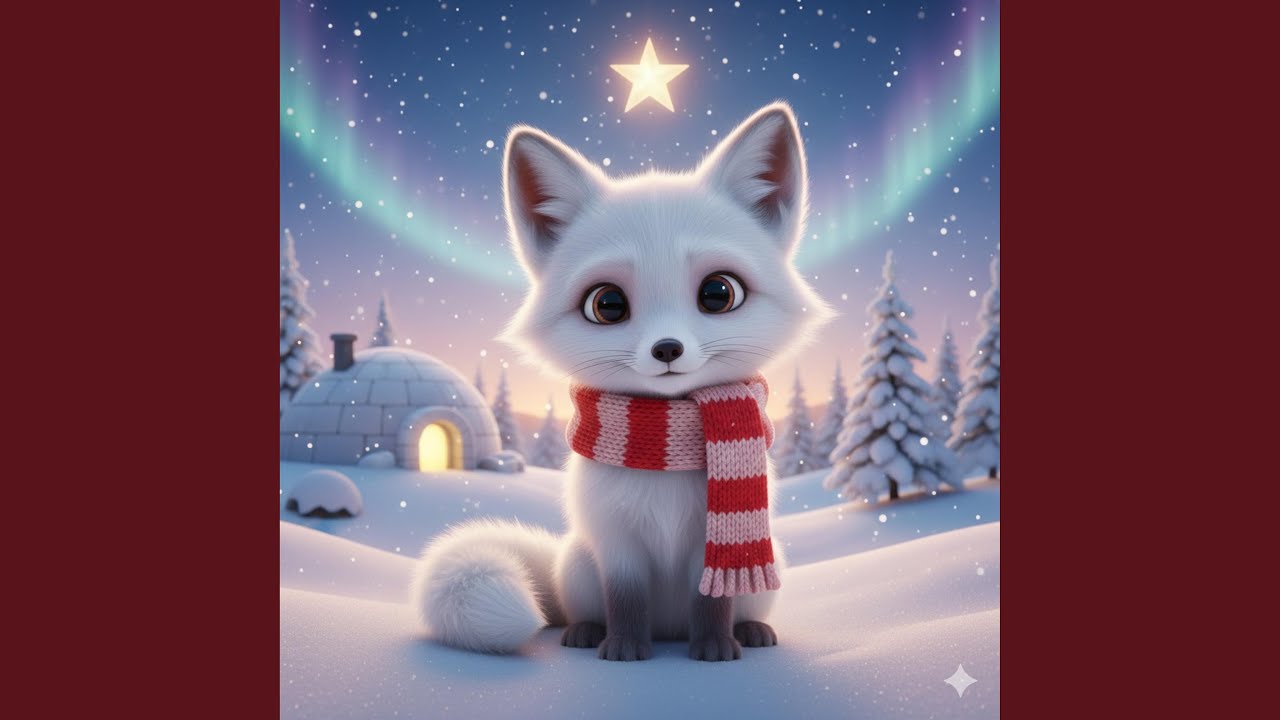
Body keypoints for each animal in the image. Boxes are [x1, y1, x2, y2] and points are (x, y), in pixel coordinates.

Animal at [411, 102, 833, 661]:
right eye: (607, 304)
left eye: (719, 293)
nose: (667, 349)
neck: (663, 443)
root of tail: (670, 628)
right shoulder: (616, 543)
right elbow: (626, 600)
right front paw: (625, 648)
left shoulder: (707, 549)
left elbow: (712, 603)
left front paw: (715, 648)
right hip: (580, 564)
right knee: (585, 607)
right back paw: (587, 631)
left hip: (769, 571)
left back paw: (750, 631)